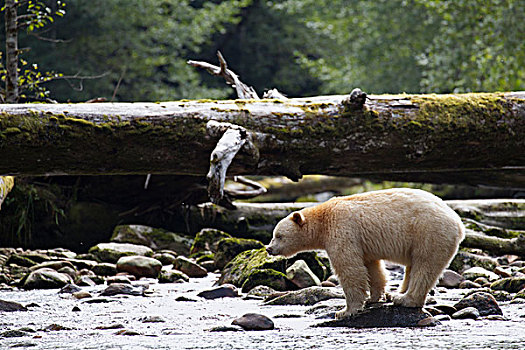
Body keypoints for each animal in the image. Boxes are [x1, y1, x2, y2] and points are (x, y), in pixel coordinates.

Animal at [266, 189, 462, 320]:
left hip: (429, 233)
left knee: (424, 266)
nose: (269, 249)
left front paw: (345, 311)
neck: (323, 219)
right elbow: (372, 267)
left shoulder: (342, 229)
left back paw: (404, 299)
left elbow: (349, 268)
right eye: (274, 235)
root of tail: (458, 223)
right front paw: (373, 298)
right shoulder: (363, 242)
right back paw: (397, 293)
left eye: (279, 235)